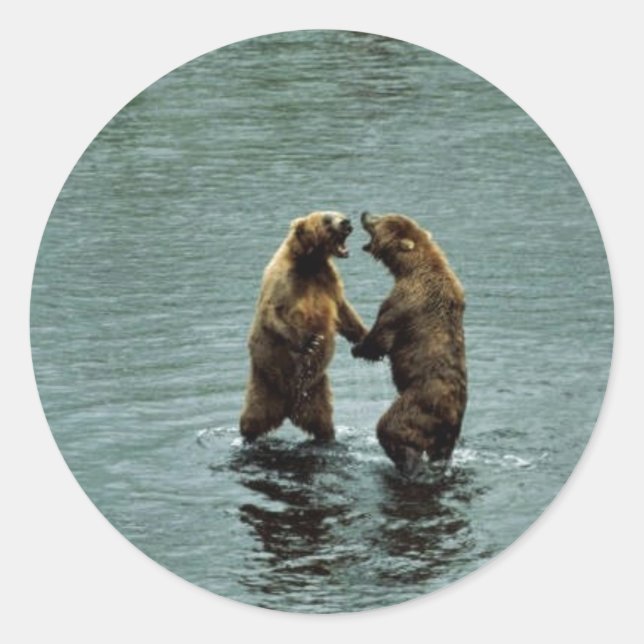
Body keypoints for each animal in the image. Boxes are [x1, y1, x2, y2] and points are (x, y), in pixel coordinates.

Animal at [240, 211, 367, 443]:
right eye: (327, 218)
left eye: (340, 214)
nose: (346, 222)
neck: (310, 262)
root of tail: (288, 407)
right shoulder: (284, 281)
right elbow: (272, 313)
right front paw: (310, 341)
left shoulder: (327, 281)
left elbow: (344, 312)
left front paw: (365, 338)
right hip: (263, 383)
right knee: (252, 419)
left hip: (316, 392)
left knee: (323, 422)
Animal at [352, 211, 467, 476]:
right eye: (381, 215)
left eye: (379, 221)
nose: (364, 213)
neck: (410, 268)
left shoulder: (404, 301)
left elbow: (382, 336)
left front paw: (359, 345)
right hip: (447, 433)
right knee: (442, 450)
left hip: (417, 404)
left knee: (391, 428)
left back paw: (407, 463)